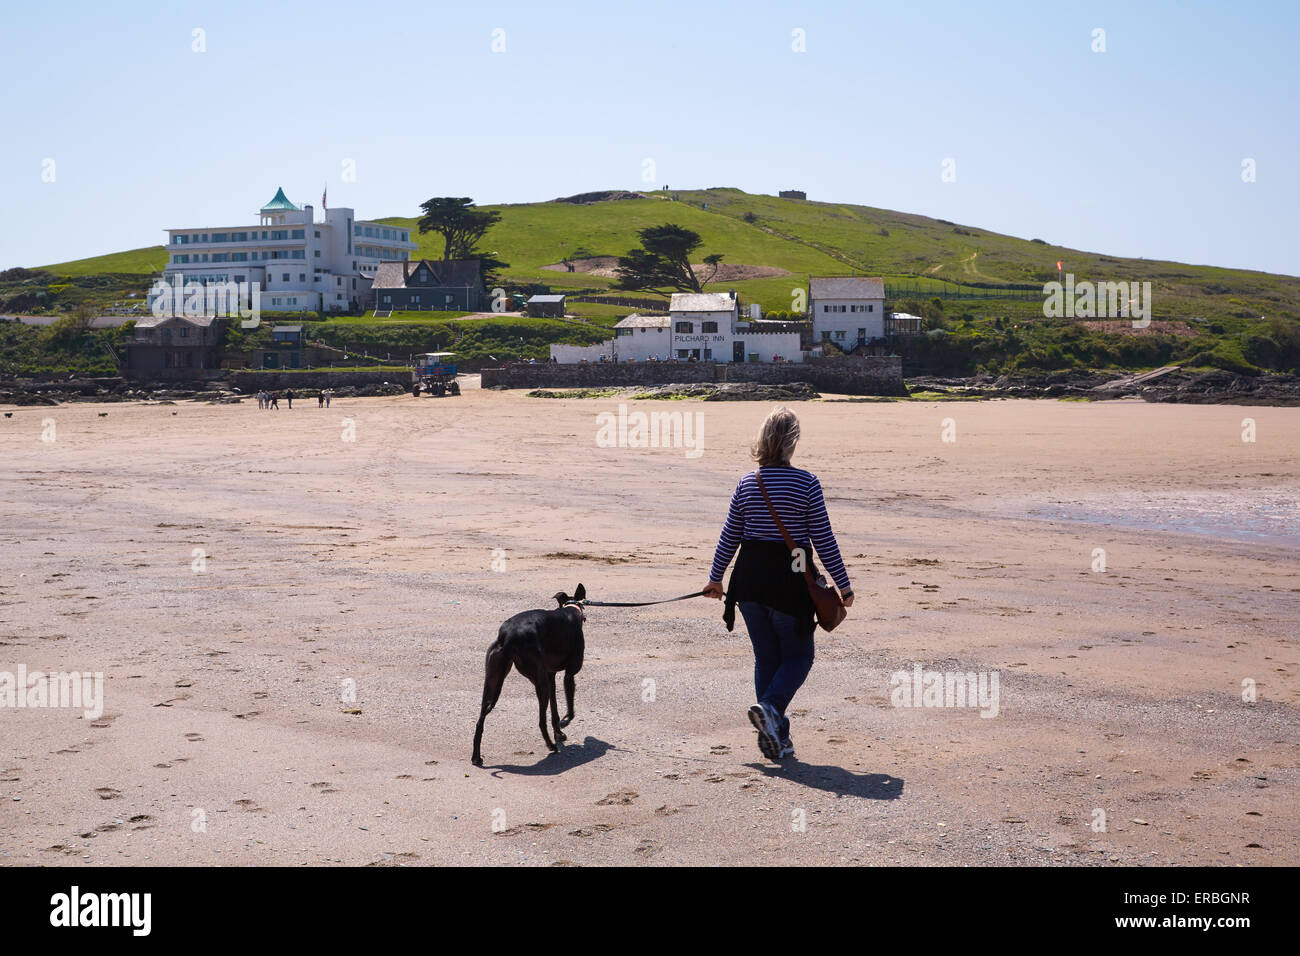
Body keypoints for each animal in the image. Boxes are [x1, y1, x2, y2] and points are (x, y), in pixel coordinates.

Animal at [470, 587, 587, 764]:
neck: (570, 609)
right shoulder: (569, 674)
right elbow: (570, 707)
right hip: (539, 682)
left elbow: (554, 709)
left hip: (492, 679)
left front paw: (559, 732)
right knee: (540, 721)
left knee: (480, 720)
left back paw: (476, 756)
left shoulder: (550, 675)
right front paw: (565, 722)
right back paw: (551, 746)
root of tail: (508, 636)